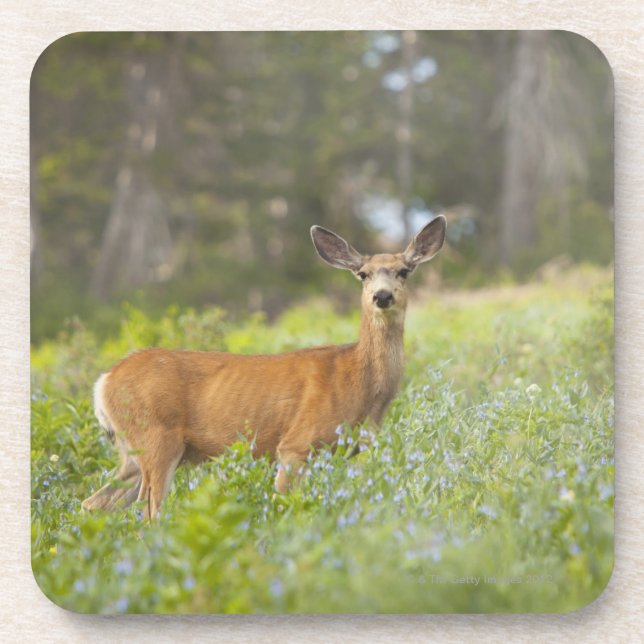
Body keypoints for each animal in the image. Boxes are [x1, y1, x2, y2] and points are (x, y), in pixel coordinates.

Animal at [81, 215, 446, 519]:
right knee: (149, 514)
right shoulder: (296, 444)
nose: (382, 296)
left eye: (404, 271)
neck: (359, 380)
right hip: (156, 438)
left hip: (131, 453)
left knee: (93, 502)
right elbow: (288, 505)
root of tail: (103, 382)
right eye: (363, 274)